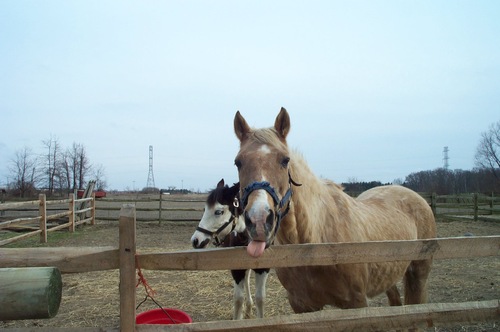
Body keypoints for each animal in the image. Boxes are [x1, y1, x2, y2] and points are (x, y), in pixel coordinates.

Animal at [190, 179, 270, 320]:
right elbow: (238, 299)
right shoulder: (236, 268)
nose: (195, 240)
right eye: (205, 209)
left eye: (218, 212)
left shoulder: (263, 268)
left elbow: (260, 298)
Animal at [232, 108, 436, 314]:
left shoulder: (357, 303)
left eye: (285, 160)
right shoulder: (302, 306)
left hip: (418, 275)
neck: (316, 241)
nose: (258, 221)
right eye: (238, 162)